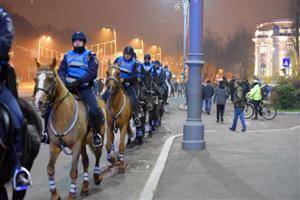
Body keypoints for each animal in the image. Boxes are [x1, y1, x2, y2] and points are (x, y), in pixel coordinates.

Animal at [32, 57, 107, 200]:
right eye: (35, 79)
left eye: (51, 79)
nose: (38, 102)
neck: (63, 114)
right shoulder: (54, 145)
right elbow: (50, 168)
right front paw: (54, 194)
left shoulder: (76, 145)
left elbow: (73, 171)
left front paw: (71, 194)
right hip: (83, 144)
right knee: (86, 162)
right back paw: (85, 187)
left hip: (98, 138)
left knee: (98, 155)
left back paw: (97, 176)